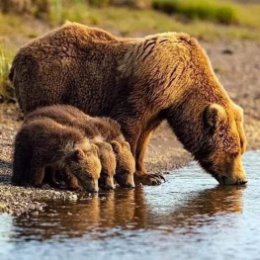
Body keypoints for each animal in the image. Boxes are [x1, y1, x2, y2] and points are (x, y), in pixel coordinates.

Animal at [9, 21, 247, 185]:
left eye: (241, 149)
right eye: (233, 152)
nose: (241, 180)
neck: (180, 88)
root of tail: (19, 53)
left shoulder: (159, 108)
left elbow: (144, 138)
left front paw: (151, 174)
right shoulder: (146, 88)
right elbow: (130, 127)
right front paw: (137, 174)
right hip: (51, 82)